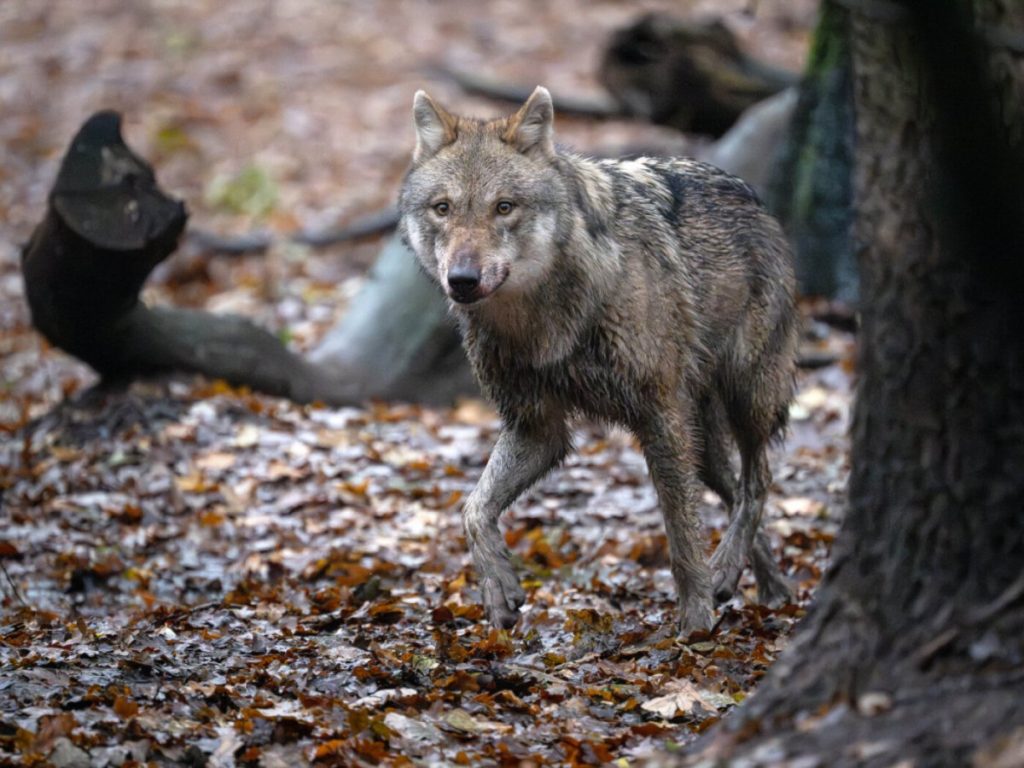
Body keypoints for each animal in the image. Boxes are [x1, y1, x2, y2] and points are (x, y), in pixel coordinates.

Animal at [398, 87, 797, 633]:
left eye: (503, 207)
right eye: (443, 208)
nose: (461, 280)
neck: (542, 321)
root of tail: (754, 198)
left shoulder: (659, 416)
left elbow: (680, 535)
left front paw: (695, 621)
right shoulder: (536, 428)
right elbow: (473, 509)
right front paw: (498, 588)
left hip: (746, 397)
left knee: (759, 481)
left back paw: (729, 574)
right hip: (703, 443)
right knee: (736, 491)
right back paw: (763, 585)